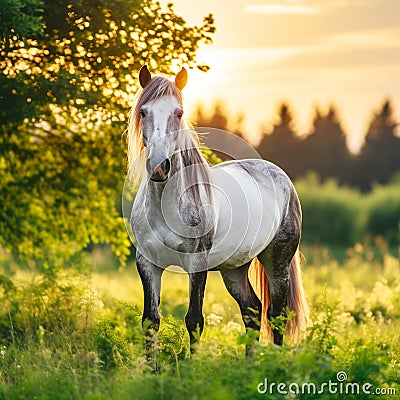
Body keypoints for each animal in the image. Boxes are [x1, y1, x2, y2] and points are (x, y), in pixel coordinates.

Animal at [126, 65, 308, 360]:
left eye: (179, 113)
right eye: (143, 112)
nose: (160, 167)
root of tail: (281, 177)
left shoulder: (197, 264)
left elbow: (194, 320)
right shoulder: (147, 264)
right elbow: (150, 321)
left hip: (277, 263)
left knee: (276, 315)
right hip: (235, 269)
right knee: (252, 311)